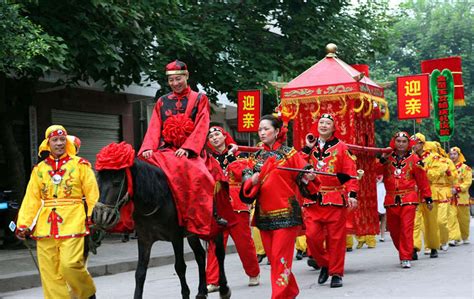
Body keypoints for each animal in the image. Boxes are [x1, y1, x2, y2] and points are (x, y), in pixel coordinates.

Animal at [92, 158, 230, 298]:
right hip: (193, 232)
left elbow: (180, 267)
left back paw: (224, 289)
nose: (99, 215)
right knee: (200, 255)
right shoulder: (144, 239)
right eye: (99, 180)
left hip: (213, 225)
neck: (156, 200)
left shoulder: (176, 237)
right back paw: (202, 292)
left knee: (219, 252)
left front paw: (186, 293)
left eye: (117, 182)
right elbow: (140, 272)